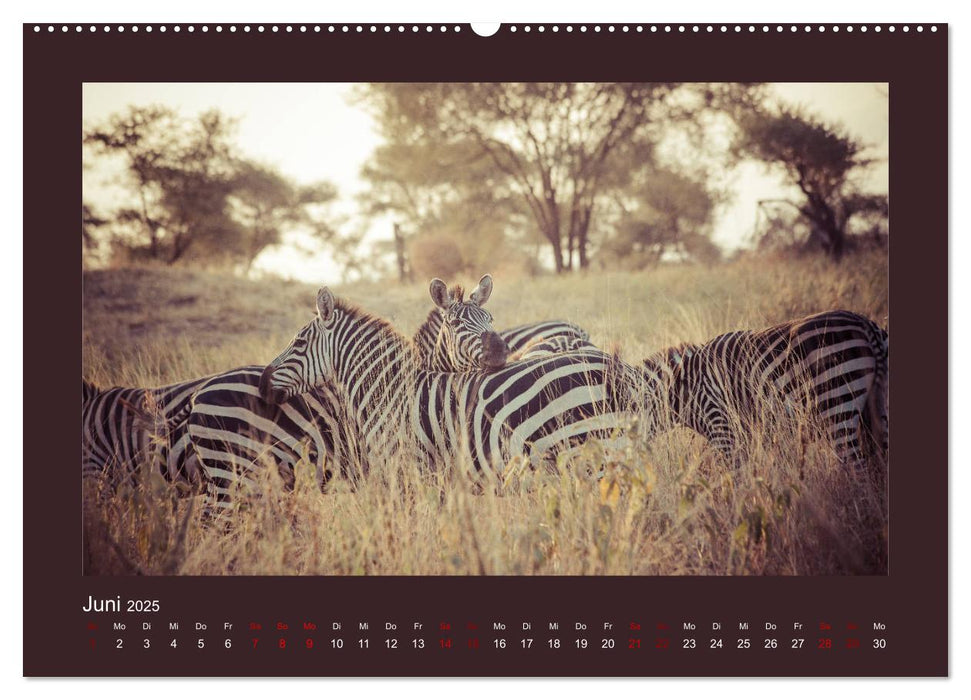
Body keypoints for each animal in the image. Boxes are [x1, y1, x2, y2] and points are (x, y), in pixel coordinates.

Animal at [258, 286, 652, 476]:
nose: (262, 383)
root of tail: (619, 368)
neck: (388, 393)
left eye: (298, 343)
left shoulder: (407, 468)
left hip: (590, 453)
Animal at [640, 308, 892, 468]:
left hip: (837, 403)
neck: (687, 386)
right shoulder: (752, 437)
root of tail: (864, 324)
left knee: (856, 467)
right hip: (876, 408)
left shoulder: (724, 430)